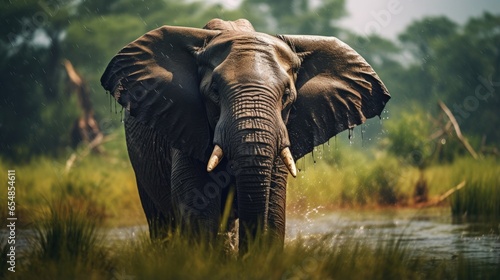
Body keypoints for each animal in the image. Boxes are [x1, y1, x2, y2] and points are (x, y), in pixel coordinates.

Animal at [100, 18, 390, 252]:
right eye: (215, 92)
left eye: (287, 95)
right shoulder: (185, 123)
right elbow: (197, 209)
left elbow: (272, 211)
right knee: (160, 221)